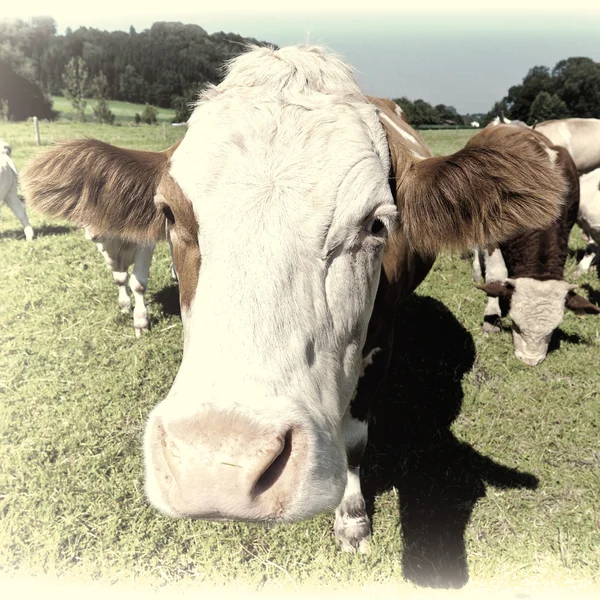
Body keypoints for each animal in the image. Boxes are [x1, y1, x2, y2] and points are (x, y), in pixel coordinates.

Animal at [22, 44, 568, 552]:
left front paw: (352, 518)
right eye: (170, 214)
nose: (216, 466)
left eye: (376, 223)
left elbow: (354, 441)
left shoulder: (380, 344)